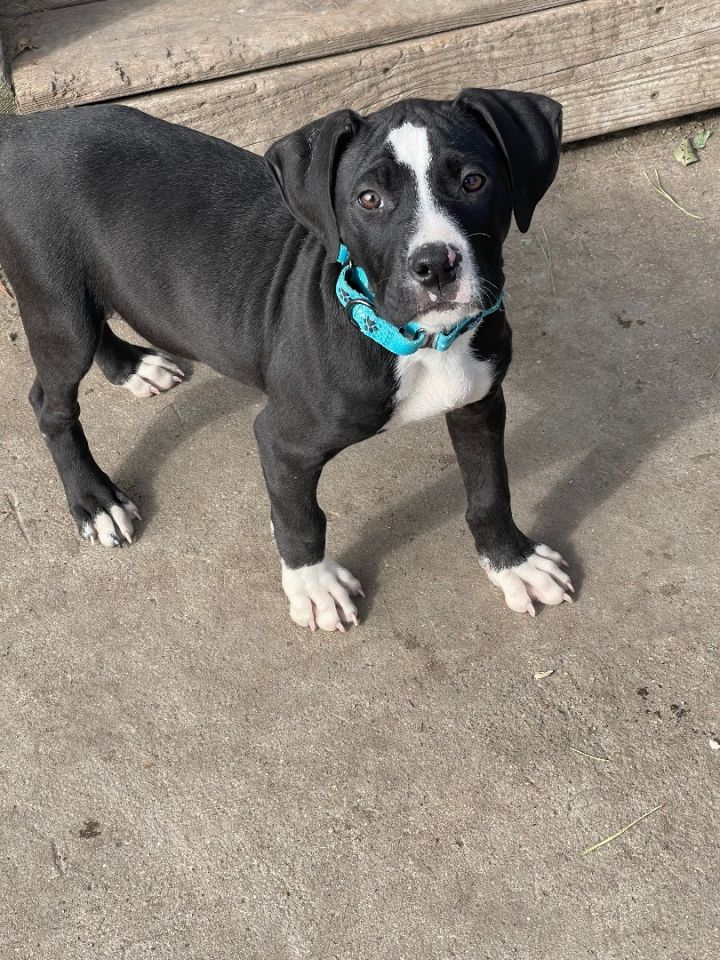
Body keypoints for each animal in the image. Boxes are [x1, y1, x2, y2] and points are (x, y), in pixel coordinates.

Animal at [0, 90, 572, 632]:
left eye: (474, 182)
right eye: (369, 199)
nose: (435, 264)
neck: (423, 342)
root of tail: (22, 131)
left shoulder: (480, 403)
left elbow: (490, 488)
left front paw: (513, 562)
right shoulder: (283, 442)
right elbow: (301, 518)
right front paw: (314, 587)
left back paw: (132, 367)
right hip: (57, 306)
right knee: (51, 404)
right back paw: (96, 500)